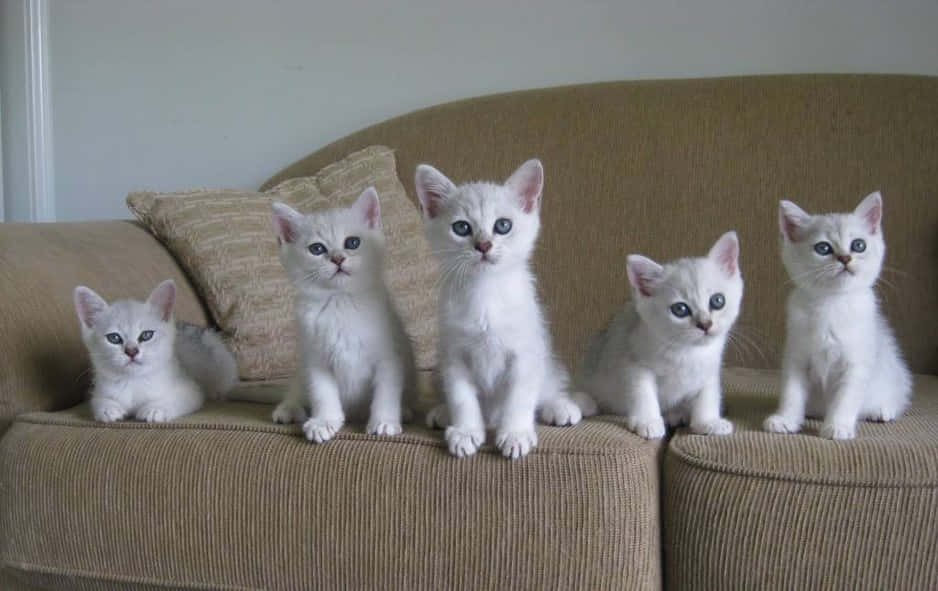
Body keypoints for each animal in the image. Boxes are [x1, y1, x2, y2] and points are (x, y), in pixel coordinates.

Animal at [73, 280, 238, 424]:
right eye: (114, 338)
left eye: (146, 335)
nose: (132, 351)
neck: (134, 382)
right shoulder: (100, 388)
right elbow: (98, 400)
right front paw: (108, 408)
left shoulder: (191, 390)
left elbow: (176, 399)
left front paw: (155, 408)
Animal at [266, 187, 414, 442]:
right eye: (317, 249)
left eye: (352, 242)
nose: (337, 258)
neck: (340, 302)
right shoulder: (316, 359)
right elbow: (322, 393)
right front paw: (324, 421)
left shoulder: (389, 357)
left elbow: (386, 392)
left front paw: (384, 421)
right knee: (297, 389)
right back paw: (289, 408)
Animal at [414, 160, 580, 460]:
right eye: (461, 227)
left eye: (503, 225)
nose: (483, 245)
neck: (485, 293)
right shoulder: (454, 355)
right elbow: (461, 397)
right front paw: (466, 431)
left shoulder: (525, 355)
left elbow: (520, 397)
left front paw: (515, 434)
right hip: (437, 369)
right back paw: (444, 413)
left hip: (544, 356)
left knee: (547, 388)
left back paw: (559, 407)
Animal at [576, 231, 744, 440]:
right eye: (680, 309)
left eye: (718, 300)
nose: (705, 324)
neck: (687, 351)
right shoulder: (634, 361)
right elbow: (642, 391)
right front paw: (648, 421)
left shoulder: (710, 368)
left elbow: (708, 393)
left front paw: (708, 421)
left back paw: (677, 413)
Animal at [764, 193, 912, 440]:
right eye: (823, 248)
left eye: (859, 245)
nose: (845, 258)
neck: (831, 303)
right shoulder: (796, 358)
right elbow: (791, 393)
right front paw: (786, 419)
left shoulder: (856, 364)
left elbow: (845, 398)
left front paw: (838, 426)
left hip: (892, 376)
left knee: (895, 398)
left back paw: (882, 410)